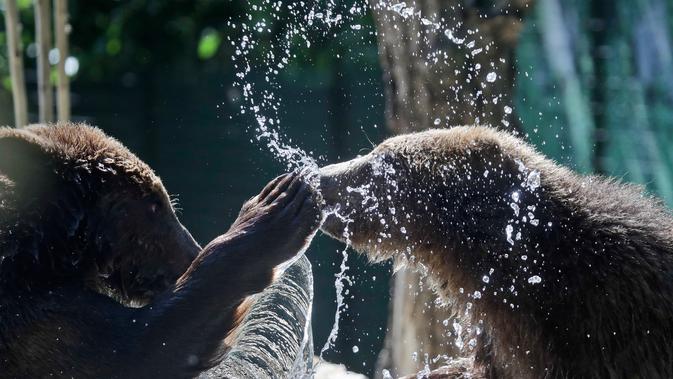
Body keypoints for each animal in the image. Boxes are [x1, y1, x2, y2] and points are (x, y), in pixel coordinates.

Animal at [0, 123, 322, 378]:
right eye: (154, 204)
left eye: (165, 200)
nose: (191, 252)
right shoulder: (33, 323)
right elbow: (143, 349)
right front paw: (277, 207)